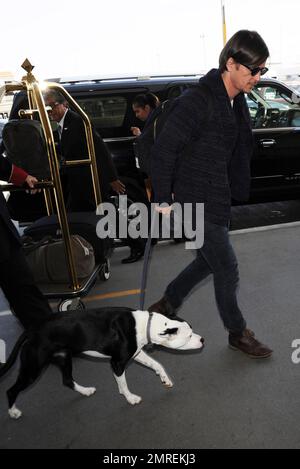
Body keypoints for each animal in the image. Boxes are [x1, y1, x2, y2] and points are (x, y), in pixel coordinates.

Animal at [0, 306, 204, 418]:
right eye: (189, 336)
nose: (202, 339)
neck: (144, 325)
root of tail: (31, 330)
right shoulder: (117, 363)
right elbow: (123, 384)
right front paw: (130, 398)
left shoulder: (136, 353)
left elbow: (157, 364)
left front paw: (165, 379)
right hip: (33, 367)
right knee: (11, 390)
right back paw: (13, 412)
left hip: (64, 358)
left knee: (67, 380)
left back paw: (85, 391)